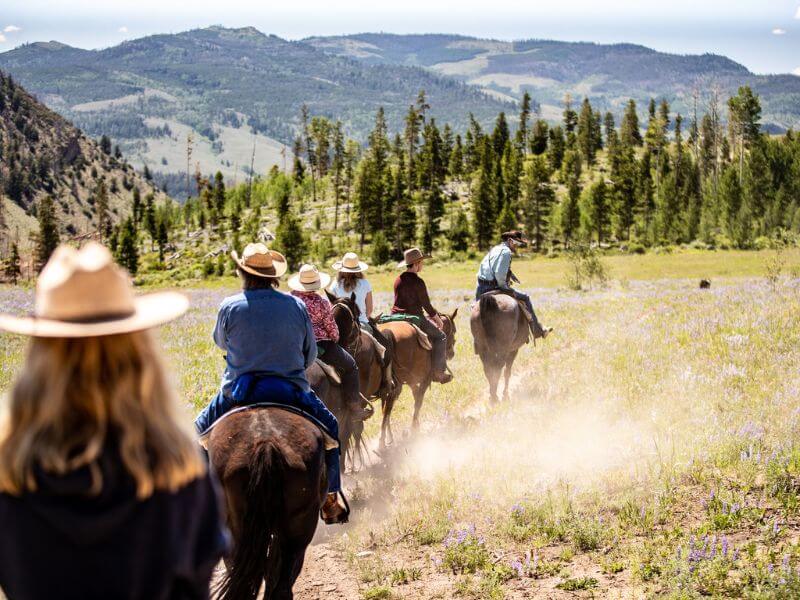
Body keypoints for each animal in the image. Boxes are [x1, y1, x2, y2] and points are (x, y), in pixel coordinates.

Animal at [376, 312, 456, 448]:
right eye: (454, 331)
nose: (452, 353)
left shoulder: (412, 382)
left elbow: (415, 396)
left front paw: (416, 426)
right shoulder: (425, 380)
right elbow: (418, 401)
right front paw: (414, 429)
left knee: (386, 409)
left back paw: (387, 439)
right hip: (396, 386)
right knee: (388, 408)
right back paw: (382, 441)